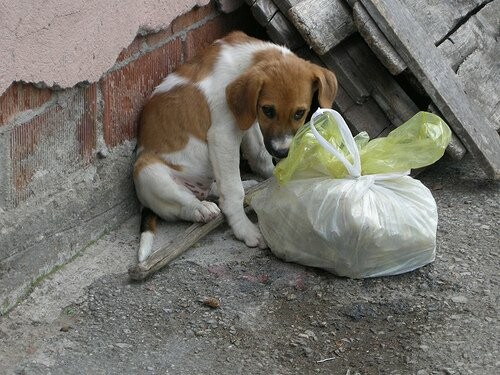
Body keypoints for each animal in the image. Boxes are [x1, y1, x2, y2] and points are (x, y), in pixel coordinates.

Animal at [133, 31, 338, 262]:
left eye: (299, 113)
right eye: (268, 110)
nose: (281, 152)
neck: (247, 59)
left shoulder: (247, 120)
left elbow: (259, 155)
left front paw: (277, 174)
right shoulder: (223, 135)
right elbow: (233, 191)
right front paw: (244, 229)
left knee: (212, 188)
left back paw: (242, 185)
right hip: (148, 172)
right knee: (181, 205)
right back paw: (201, 209)